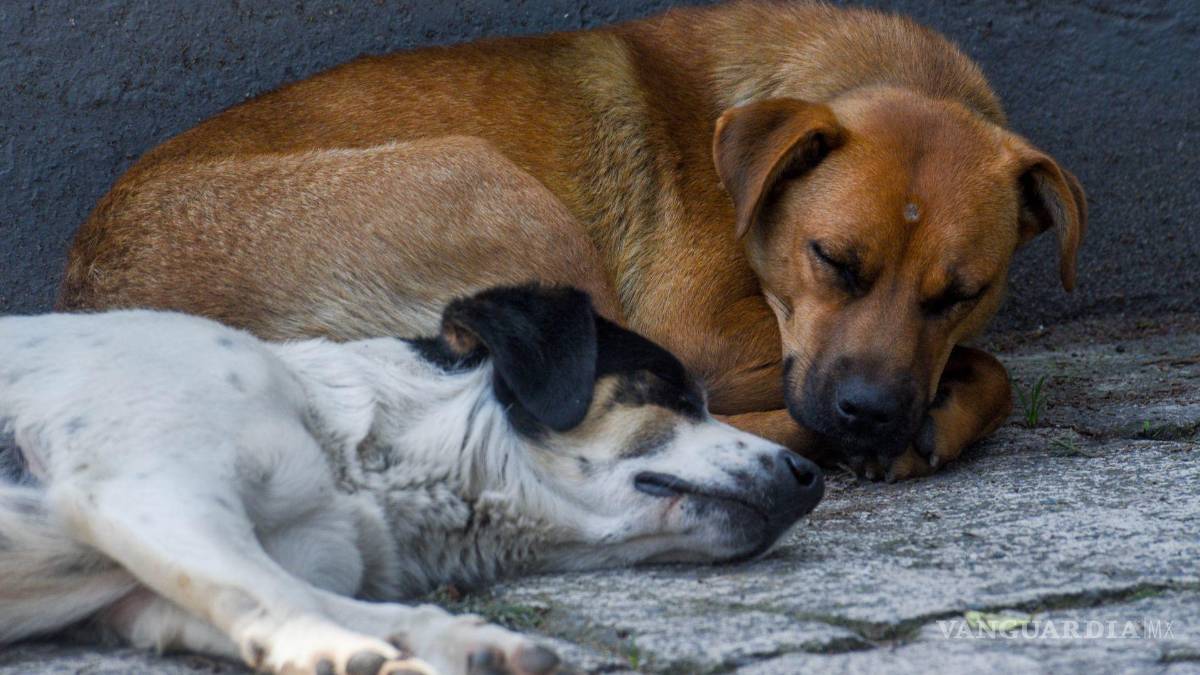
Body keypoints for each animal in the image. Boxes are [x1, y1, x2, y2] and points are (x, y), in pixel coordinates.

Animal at [0, 285, 824, 675]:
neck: (350, 453)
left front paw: (457, 642)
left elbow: (331, 602)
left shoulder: (139, 596)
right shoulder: (149, 489)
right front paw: (328, 649)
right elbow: (283, 597)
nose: (813, 474)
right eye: (668, 389)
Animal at [60, 0, 1087, 481]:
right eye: (831, 259)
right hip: (503, 199)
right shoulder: (707, 334)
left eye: (962, 291)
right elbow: (993, 366)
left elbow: (985, 362)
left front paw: (936, 416)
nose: (870, 414)